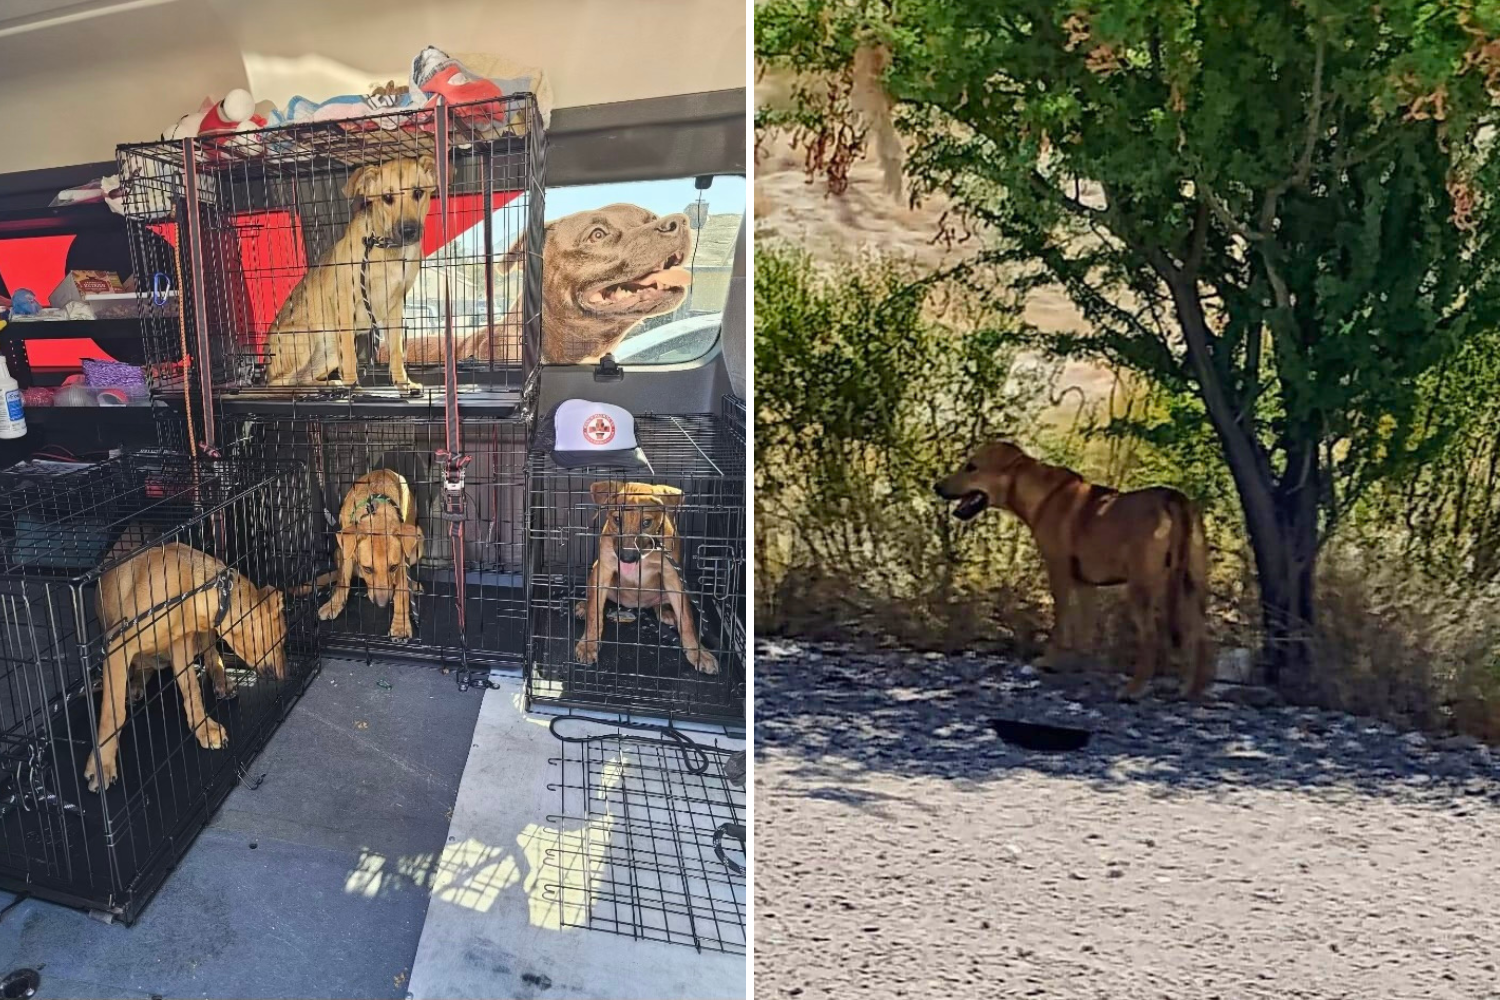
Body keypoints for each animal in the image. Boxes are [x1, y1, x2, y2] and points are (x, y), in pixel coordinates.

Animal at [85, 539, 289, 791]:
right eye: (283, 637)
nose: (288, 673)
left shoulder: (181, 644)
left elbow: (192, 689)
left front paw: (205, 728)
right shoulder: (117, 647)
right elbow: (112, 715)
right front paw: (101, 765)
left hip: (201, 637)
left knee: (211, 657)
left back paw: (222, 682)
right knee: (142, 670)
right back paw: (134, 687)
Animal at [262, 155, 438, 389]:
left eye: (418, 192)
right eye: (387, 197)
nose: (408, 230)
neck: (386, 249)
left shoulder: (395, 307)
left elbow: (397, 352)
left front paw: (404, 383)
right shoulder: (344, 302)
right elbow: (350, 354)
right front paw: (353, 386)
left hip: (327, 351)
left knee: (302, 377)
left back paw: (330, 384)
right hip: (307, 338)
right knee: (281, 382)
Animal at [307, 470, 420, 641]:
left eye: (393, 567)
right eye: (367, 569)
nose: (382, 604)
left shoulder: (401, 561)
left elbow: (402, 592)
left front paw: (400, 625)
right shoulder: (346, 549)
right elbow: (342, 581)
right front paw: (334, 604)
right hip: (338, 551)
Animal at [570, 479, 717, 680]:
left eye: (646, 522)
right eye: (617, 520)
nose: (627, 558)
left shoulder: (674, 576)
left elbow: (687, 620)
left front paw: (698, 653)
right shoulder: (603, 570)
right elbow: (595, 612)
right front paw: (588, 644)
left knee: (661, 604)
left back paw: (666, 611)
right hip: (596, 570)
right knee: (595, 599)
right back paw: (583, 606)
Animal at [930, 440, 1212, 701]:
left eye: (971, 467)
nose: (937, 487)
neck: (1043, 495)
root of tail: (1173, 498)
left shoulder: (1059, 572)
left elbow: (1061, 622)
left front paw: (1050, 660)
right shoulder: (1086, 583)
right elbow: (1085, 630)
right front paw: (1081, 664)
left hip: (1141, 587)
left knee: (1152, 637)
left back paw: (1133, 690)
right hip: (1192, 585)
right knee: (1200, 637)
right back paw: (1191, 690)